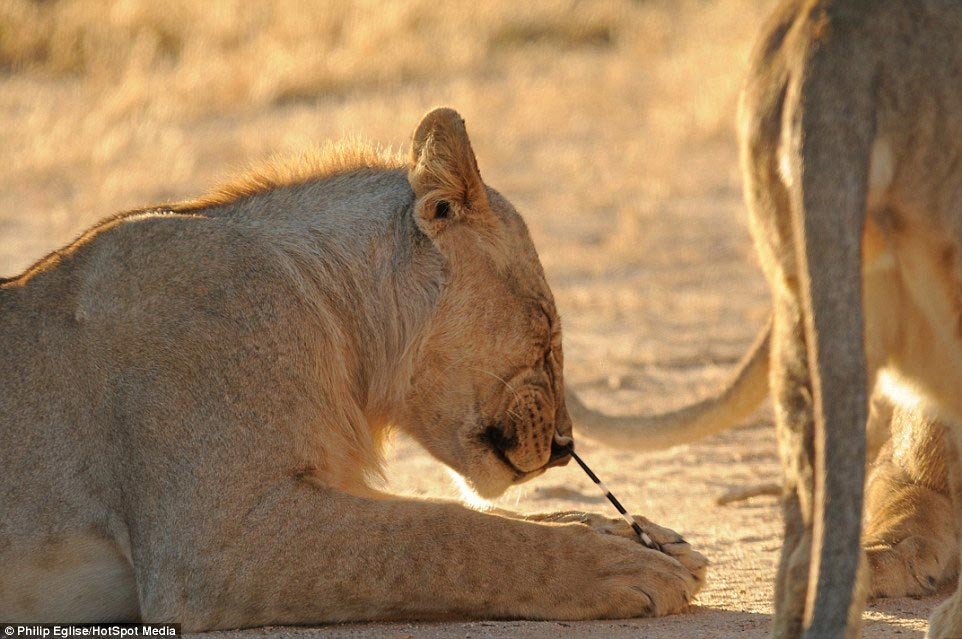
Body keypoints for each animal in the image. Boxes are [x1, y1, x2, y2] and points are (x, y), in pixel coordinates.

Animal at [0, 107, 704, 628]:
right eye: (546, 326)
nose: (564, 447)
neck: (336, 327)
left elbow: (473, 516)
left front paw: (638, 534)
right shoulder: (210, 547)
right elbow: (449, 536)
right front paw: (629, 565)